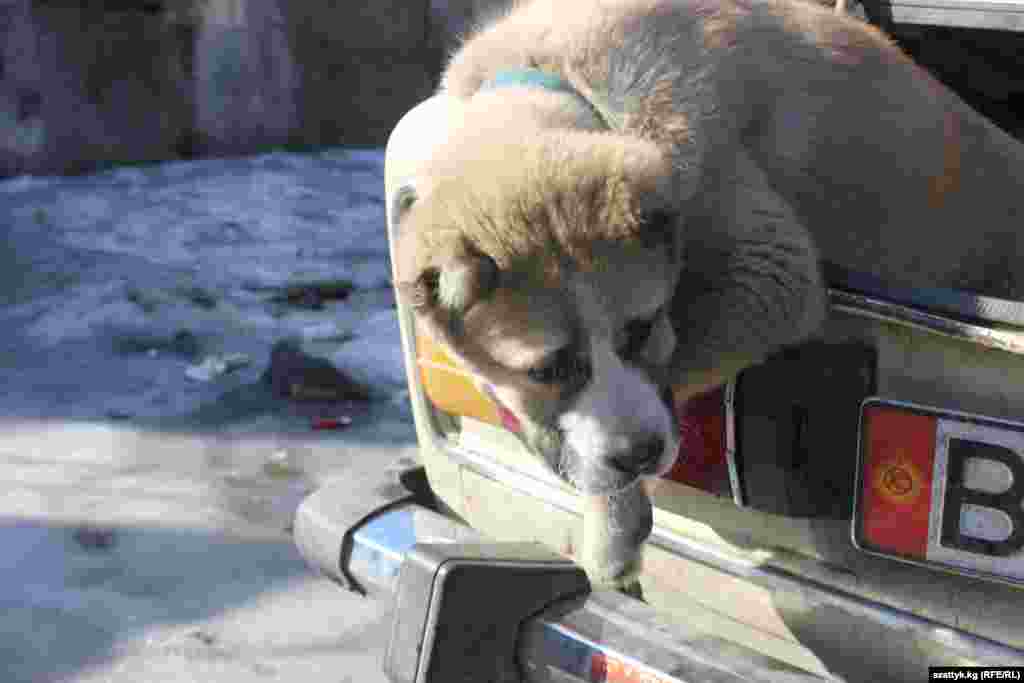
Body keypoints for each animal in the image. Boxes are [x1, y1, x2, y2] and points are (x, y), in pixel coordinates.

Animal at [389, 0, 1024, 589]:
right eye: (546, 370)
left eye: (644, 330)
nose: (641, 456)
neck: (560, 79)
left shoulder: (765, 274)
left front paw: (609, 518)